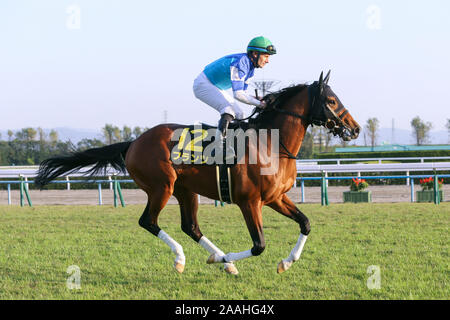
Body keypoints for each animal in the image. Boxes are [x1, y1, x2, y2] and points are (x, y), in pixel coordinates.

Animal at [33, 70, 360, 276]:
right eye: (331, 100)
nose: (354, 128)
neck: (271, 143)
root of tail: (134, 142)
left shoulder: (276, 198)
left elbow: (305, 223)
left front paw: (286, 263)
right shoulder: (249, 202)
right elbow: (259, 246)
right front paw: (227, 258)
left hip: (185, 190)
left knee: (190, 226)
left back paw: (222, 261)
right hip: (161, 187)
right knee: (148, 221)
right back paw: (183, 259)